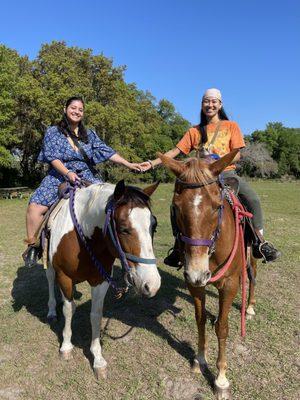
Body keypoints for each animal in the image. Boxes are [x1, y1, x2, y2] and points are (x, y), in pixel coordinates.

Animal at [44, 180, 161, 378]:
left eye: (154, 225)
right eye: (123, 229)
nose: (152, 285)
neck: (83, 237)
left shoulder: (101, 280)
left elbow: (95, 315)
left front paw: (98, 359)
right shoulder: (64, 276)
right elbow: (69, 309)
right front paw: (66, 346)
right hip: (52, 266)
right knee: (50, 280)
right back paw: (52, 310)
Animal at [159, 151, 258, 400]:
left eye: (216, 207)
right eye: (176, 207)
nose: (198, 271)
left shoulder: (229, 284)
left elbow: (222, 327)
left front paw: (221, 379)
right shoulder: (194, 283)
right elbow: (200, 319)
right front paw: (200, 358)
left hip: (251, 254)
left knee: (252, 276)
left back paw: (250, 306)